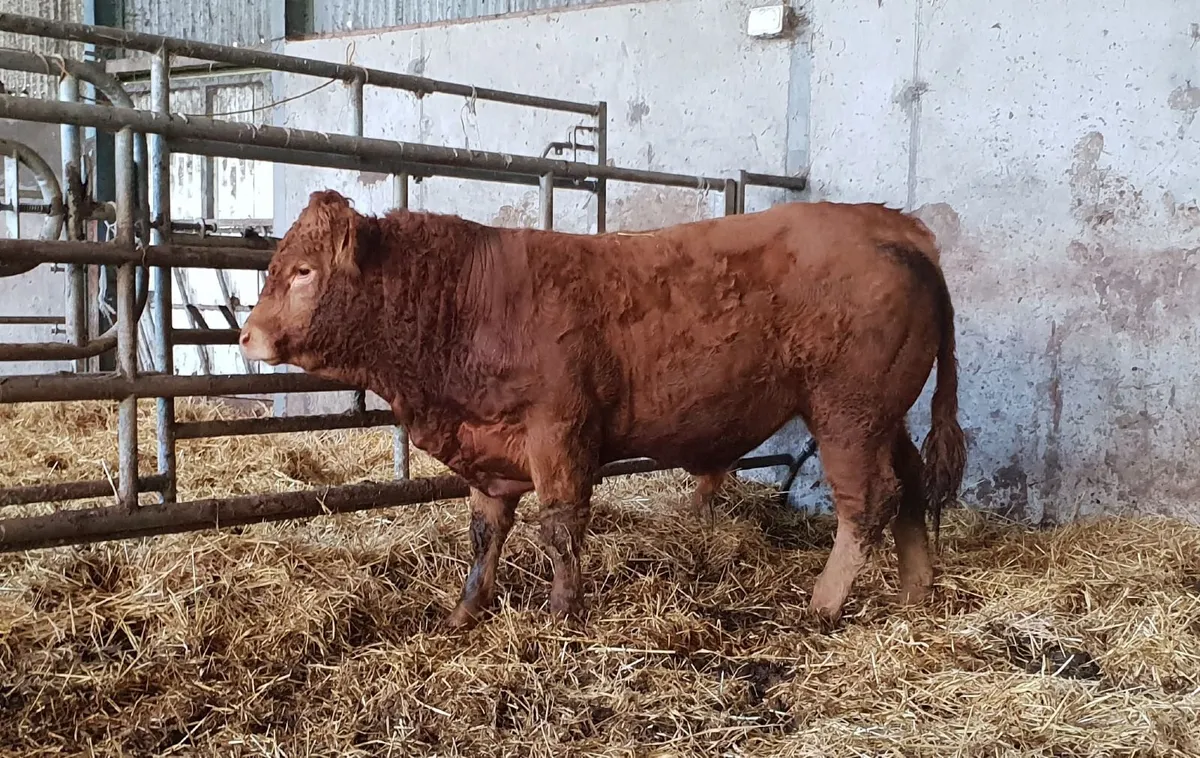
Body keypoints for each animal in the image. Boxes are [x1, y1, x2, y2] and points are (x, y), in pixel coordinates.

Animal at [239, 189, 966, 630]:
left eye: (303, 271)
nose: (247, 336)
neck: (470, 300)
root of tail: (894, 227)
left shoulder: (558, 431)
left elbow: (561, 526)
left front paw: (563, 611)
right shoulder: (488, 451)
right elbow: (484, 534)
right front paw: (467, 611)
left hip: (847, 412)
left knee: (868, 501)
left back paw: (821, 604)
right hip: (884, 415)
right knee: (909, 487)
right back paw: (916, 590)